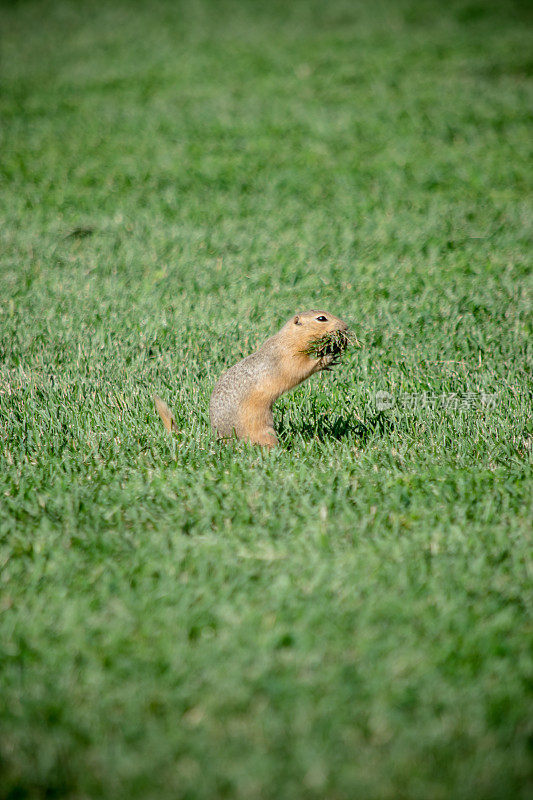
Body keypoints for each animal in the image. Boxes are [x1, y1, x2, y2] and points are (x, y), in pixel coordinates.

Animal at [154, 308, 348, 446]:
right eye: (321, 318)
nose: (346, 326)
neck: (288, 339)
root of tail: (220, 439)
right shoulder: (288, 358)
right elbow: (301, 369)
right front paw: (327, 358)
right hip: (262, 431)